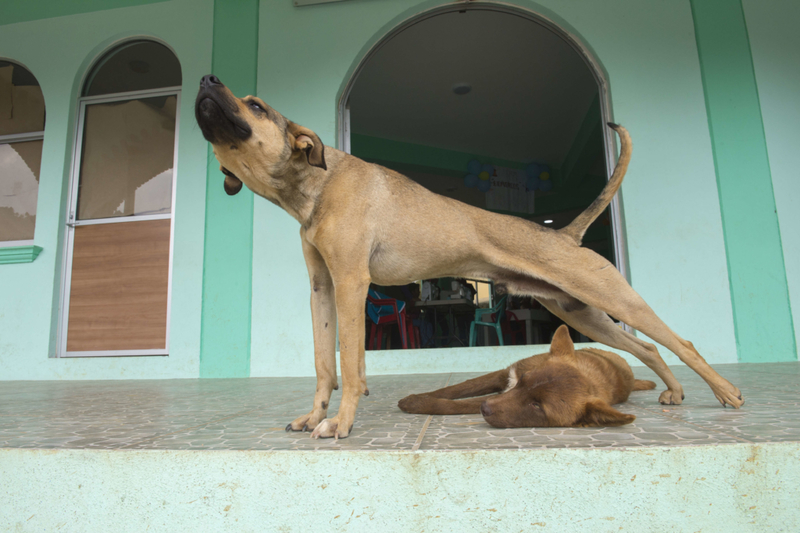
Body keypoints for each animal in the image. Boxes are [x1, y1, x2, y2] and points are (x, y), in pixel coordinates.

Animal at [398, 324, 656, 428]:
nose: (485, 408)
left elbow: (457, 404)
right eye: (523, 381)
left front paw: (419, 403)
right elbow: (456, 389)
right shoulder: (503, 375)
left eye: (537, 406)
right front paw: (419, 397)